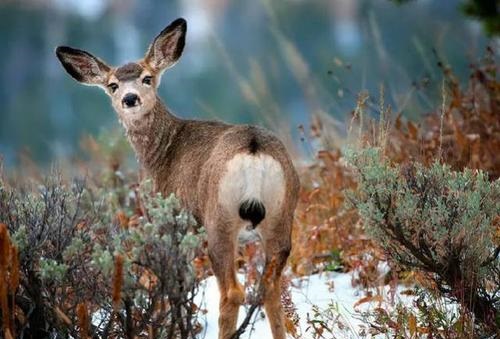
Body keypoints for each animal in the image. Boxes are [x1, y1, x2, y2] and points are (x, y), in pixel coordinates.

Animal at [56, 18, 298, 339]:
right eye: (113, 85)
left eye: (147, 78)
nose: (130, 98)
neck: (162, 151)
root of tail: (254, 148)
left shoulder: (173, 225)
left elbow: (176, 286)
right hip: (281, 217)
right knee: (270, 288)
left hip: (219, 219)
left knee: (232, 292)